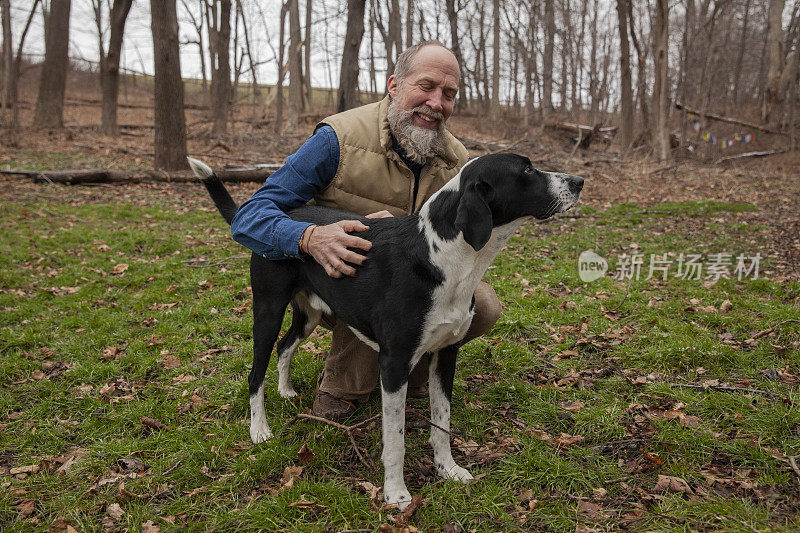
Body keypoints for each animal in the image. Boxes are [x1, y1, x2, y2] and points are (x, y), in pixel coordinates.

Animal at [191, 154, 584, 508]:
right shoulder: (394, 363)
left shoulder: (445, 355)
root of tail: (282, 214)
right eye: (527, 170)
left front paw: (448, 469)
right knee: (255, 371)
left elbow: (442, 422)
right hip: (268, 310)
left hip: (310, 314)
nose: (579, 180)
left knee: (285, 346)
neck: (445, 257)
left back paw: (285, 390)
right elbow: (395, 439)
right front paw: (396, 493)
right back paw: (259, 428)